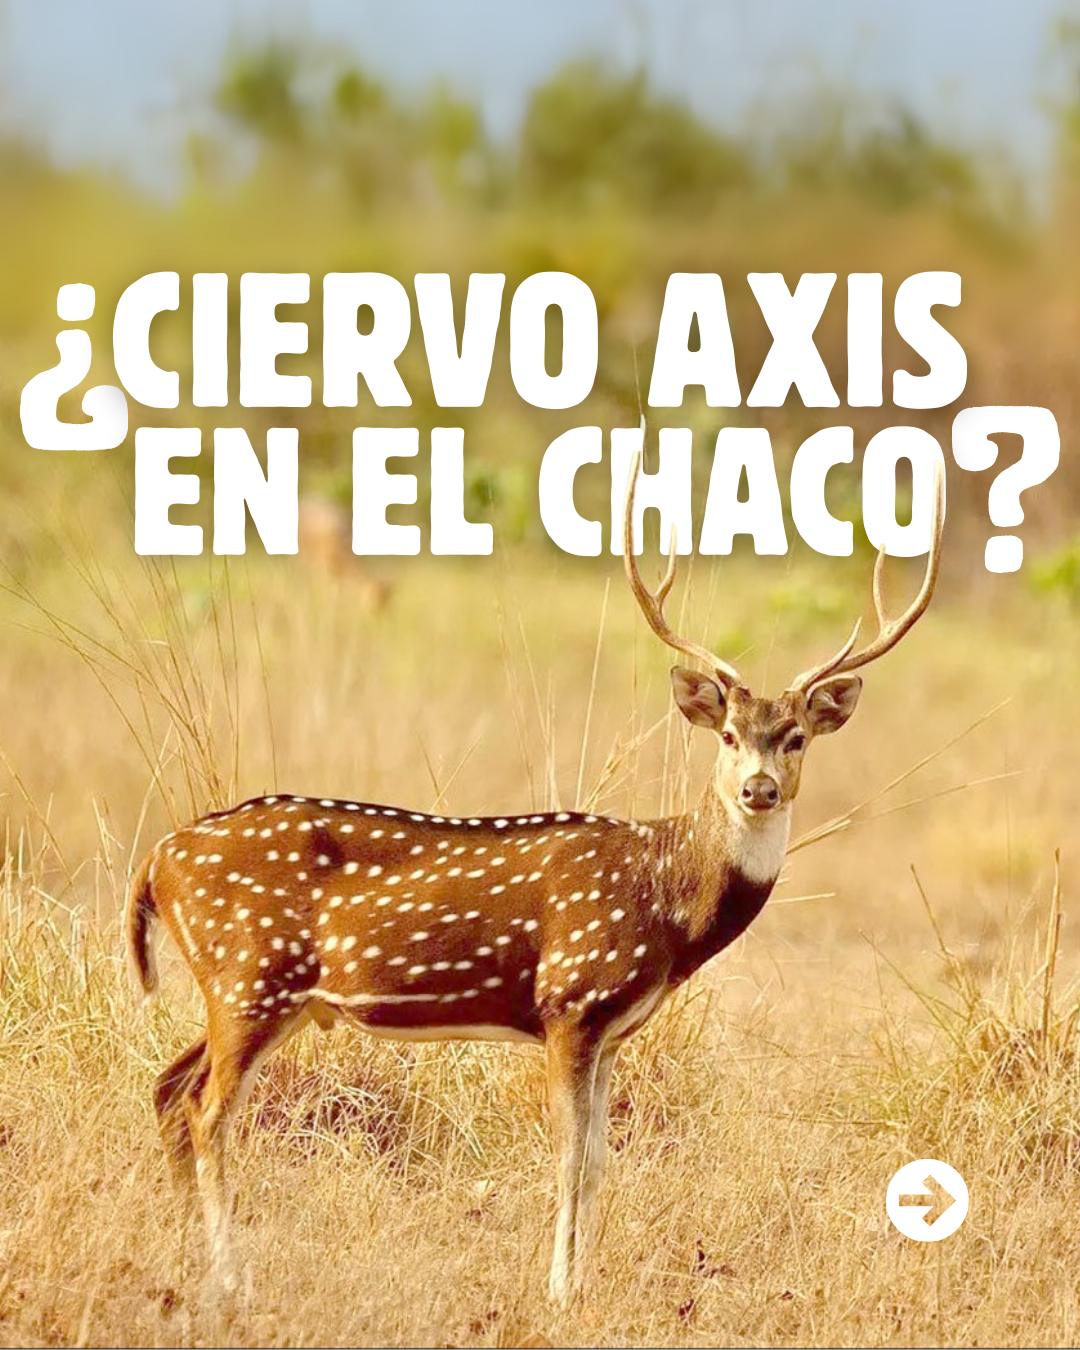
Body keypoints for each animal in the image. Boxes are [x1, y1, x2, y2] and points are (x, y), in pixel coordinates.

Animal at [126, 450, 945, 1309]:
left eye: (795, 738)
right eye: (726, 733)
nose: (758, 789)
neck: (667, 903)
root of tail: (158, 860)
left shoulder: (614, 1028)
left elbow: (600, 1161)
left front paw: (580, 1280)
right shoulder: (571, 999)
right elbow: (569, 1157)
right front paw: (559, 1289)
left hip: (261, 993)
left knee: (169, 1087)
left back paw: (185, 1255)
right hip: (250, 975)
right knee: (208, 1110)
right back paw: (230, 1278)